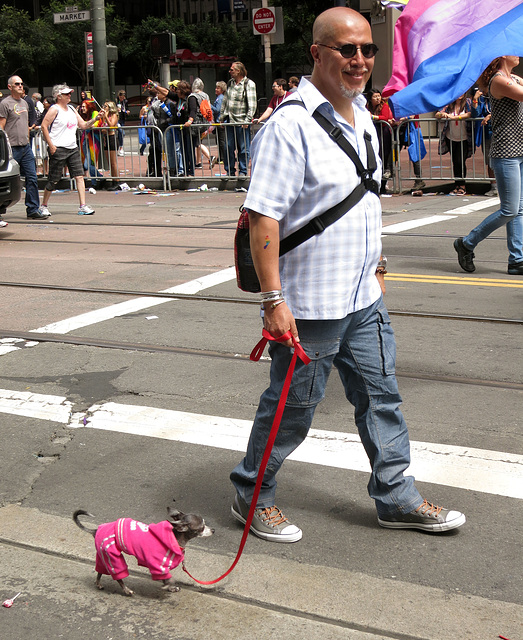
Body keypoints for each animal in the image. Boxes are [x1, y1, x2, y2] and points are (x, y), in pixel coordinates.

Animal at [73, 508, 213, 596]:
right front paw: (169, 586)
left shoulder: (162, 568)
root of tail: (96, 530)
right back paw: (127, 590)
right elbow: (169, 579)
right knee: (118, 577)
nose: (213, 530)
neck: (174, 537)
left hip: (103, 555)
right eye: (201, 527)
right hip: (113, 556)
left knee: (100, 571)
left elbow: (167, 579)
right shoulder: (158, 566)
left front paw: (170, 587)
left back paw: (98, 584)